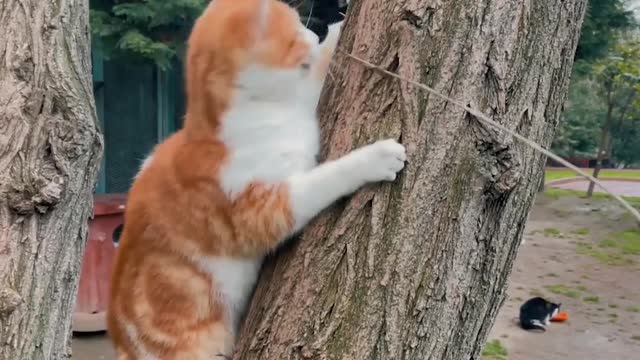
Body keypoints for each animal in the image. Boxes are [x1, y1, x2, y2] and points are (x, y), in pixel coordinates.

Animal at [106, 0, 404, 358]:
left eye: (301, 24)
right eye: (294, 36)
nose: (312, 33)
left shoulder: (301, 102)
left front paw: (338, 29)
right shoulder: (260, 209)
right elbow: (321, 180)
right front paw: (376, 157)